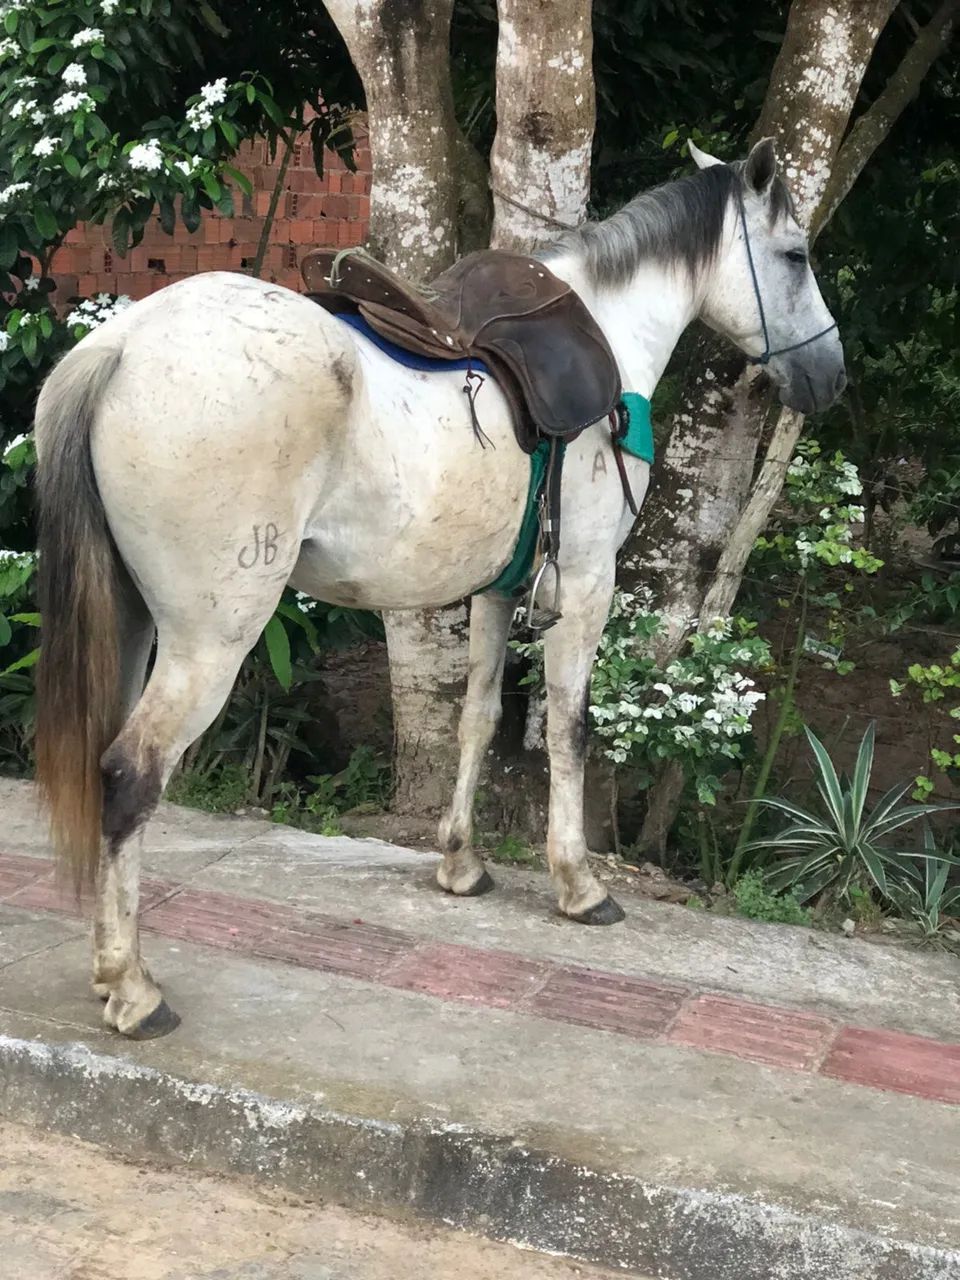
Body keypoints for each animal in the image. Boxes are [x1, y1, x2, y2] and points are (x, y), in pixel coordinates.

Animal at [33, 139, 845, 1039]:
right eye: (795, 255)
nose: (830, 374)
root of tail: (119, 349)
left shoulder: (497, 590)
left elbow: (477, 719)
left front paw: (460, 864)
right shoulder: (587, 583)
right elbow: (570, 730)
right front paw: (579, 884)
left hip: (132, 621)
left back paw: (108, 974)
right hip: (211, 639)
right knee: (130, 775)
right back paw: (134, 989)